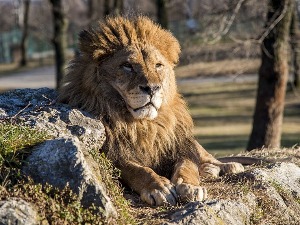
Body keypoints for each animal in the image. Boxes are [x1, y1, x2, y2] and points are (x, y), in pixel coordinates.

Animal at [58, 15, 244, 206]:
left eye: (158, 65)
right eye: (127, 65)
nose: (152, 88)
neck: (144, 125)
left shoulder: (177, 146)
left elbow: (187, 166)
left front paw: (190, 186)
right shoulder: (113, 154)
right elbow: (138, 169)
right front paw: (159, 187)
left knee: (206, 156)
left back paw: (224, 166)